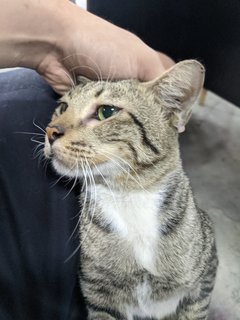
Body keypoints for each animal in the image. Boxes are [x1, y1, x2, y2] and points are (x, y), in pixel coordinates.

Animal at [44, 60, 218, 320]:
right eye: (63, 107)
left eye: (106, 112)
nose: (50, 132)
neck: (129, 197)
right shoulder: (98, 295)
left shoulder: (203, 282)